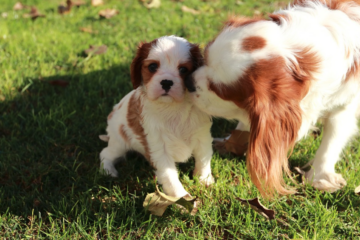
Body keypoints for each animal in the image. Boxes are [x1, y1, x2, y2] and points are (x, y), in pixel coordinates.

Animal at [99, 35, 214, 197]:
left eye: (183, 69)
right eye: (153, 67)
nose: (166, 82)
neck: (172, 108)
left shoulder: (202, 137)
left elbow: (203, 159)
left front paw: (204, 179)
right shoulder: (159, 147)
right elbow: (170, 176)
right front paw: (181, 197)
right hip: (120, 142)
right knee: (105, 153)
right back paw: (108, 171)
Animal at [186, 0, 360, 197]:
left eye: (220, 91)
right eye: (204, 58)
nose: (189, 81)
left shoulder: (344, 103)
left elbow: (332, 140)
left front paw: (320, 176)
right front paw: (231, 142)